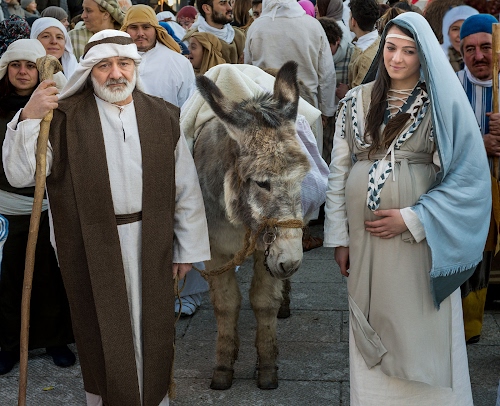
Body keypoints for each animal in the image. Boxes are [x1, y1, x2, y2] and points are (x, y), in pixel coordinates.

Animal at [193, 61, 311, 390]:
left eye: (302, 178)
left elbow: (263, 302)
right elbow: (226, 304)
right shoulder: (215, 249)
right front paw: (223, 369)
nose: (292, 261)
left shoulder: (265, 250)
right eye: (261, 182)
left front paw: (268, 368)